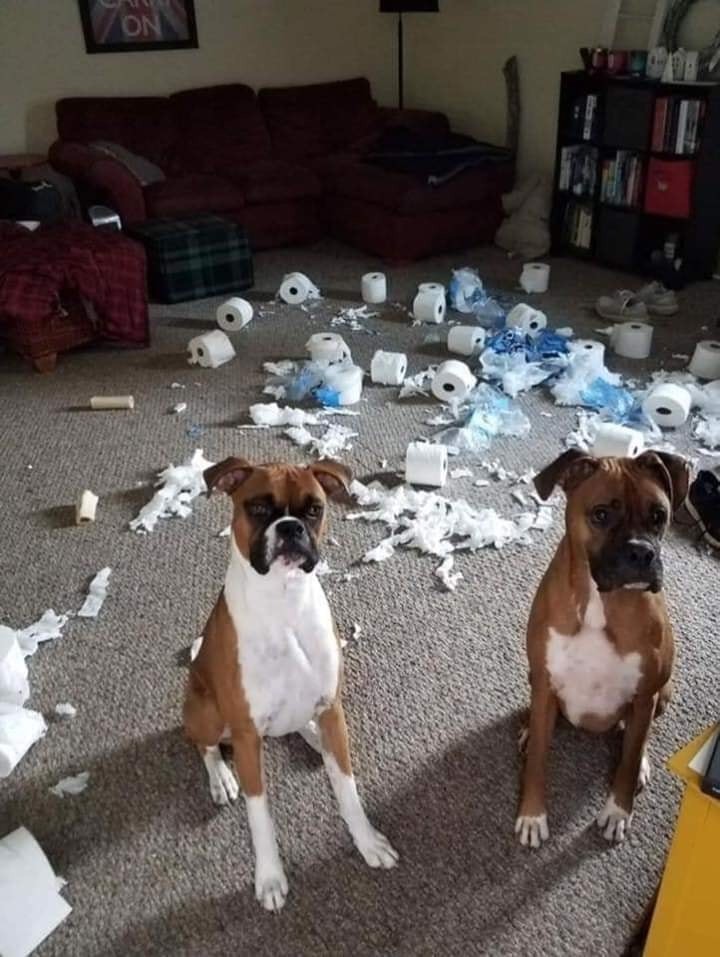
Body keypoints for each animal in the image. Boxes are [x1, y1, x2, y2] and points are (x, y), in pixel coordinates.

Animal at [184, 456, 398, 910]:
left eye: (314, 509)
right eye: (258, 508)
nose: (289, 528)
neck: (284, 602)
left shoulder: (332, 707)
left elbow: (348, 792)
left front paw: (367, 841)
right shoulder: (247, 738)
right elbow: (259, 816)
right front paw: (269, 878)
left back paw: (313, 739)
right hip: (205, 711)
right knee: (204, 746)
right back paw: (220, 777)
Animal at [515, 449, 689, 847]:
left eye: (658, 515)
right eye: (601, 515)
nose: (641, 553)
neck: (601, 603)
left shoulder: (645, 695)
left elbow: (629, 758)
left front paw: (618, 810)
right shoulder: (545, 682)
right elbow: (538, 763)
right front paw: (532, 814)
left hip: (663, 693)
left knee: (636, 737)